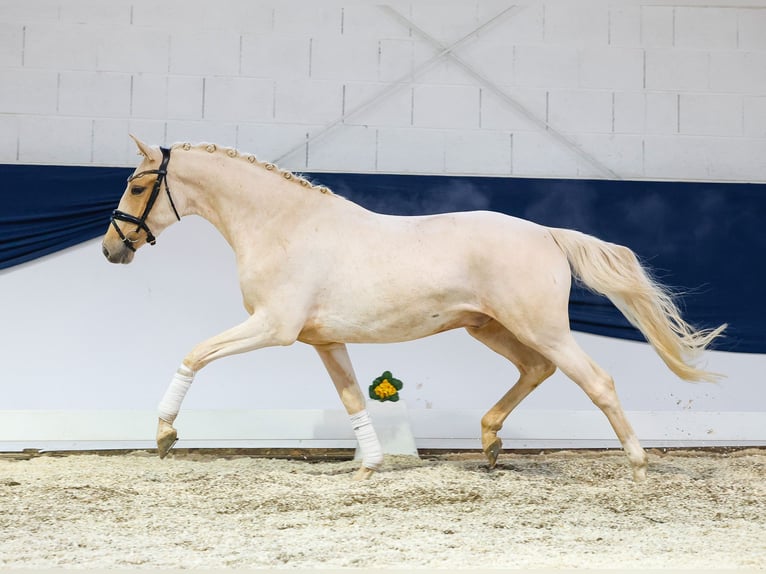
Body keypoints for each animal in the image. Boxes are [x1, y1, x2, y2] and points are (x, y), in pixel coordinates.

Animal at [102, 137, 728, 484]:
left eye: (137, 186)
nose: (112, 249)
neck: (284, 226)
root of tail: (547, 234)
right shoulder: (323, 340)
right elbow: (353, 400)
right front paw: (370, 465)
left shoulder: (273, 328)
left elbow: (195, 354)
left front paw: (164, 435)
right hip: (490, 328)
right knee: (536, 369)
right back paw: (491, 443)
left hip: (539, 326)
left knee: (596, 380)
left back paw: (638, 466)